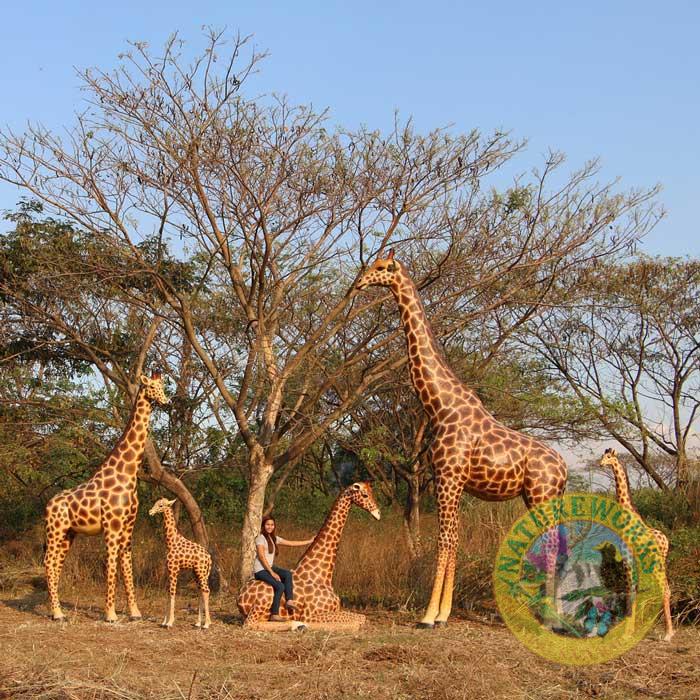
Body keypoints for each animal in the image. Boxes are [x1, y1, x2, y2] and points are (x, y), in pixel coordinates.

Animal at [44, 371, 170, 622]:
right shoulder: (112, 526)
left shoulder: (128, 526)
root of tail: (48, 504)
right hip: (55, 532)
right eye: (152, 387)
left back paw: (58, 612)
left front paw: (135, 612)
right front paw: (110, 614)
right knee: (47, 562)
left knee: (55, 564)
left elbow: (126, 565)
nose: (167, 402)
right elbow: (110, 565)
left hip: (68, 534)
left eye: (163, 386)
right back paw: (57, 613)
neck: (127, 473)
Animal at [148, 498, 212, 629]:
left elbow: (173, 593)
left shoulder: (174, 569)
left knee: (206, 591)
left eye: (161, 505)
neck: (171, 542)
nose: (150, 512)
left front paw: (170, 622)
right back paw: (198, 623)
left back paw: (207, 624)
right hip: (196, 573)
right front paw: (164, 621)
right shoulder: (169, 570)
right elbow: (168, 593)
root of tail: (209, 558)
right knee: (200, 591)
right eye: (156, 503)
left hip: (201, 572)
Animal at [237, 482, 381, 626]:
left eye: (372, 492)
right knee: (252, 624)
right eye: (365, 495)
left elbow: (362, 617)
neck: (322, 577)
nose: (378, 513)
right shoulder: (310, 615)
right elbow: (359, 619)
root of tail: (239, 597)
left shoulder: (335, 609)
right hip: (259, 608)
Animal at [356, 251, 568, 627]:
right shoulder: (451, 482)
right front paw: (443, 613)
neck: (440, 405)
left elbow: (445, 539)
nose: (358, 283)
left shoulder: (448, 478)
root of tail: (564, 468)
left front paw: (428, 616)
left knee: (552, 544)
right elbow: (454, 540)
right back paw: (549, 613)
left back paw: (550, 617)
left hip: (541, 494)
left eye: (381, 267)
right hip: (543, 496)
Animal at [599, 447, 674, 641]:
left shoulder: (627, 559)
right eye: (602, 456)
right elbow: (635, 592)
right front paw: (632, 630)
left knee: (665, 589)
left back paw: (668, 634)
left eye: (608, 457)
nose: (600, 464)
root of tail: (666, 541)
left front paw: (627, 633)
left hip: (657, 564)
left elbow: (630, 592)